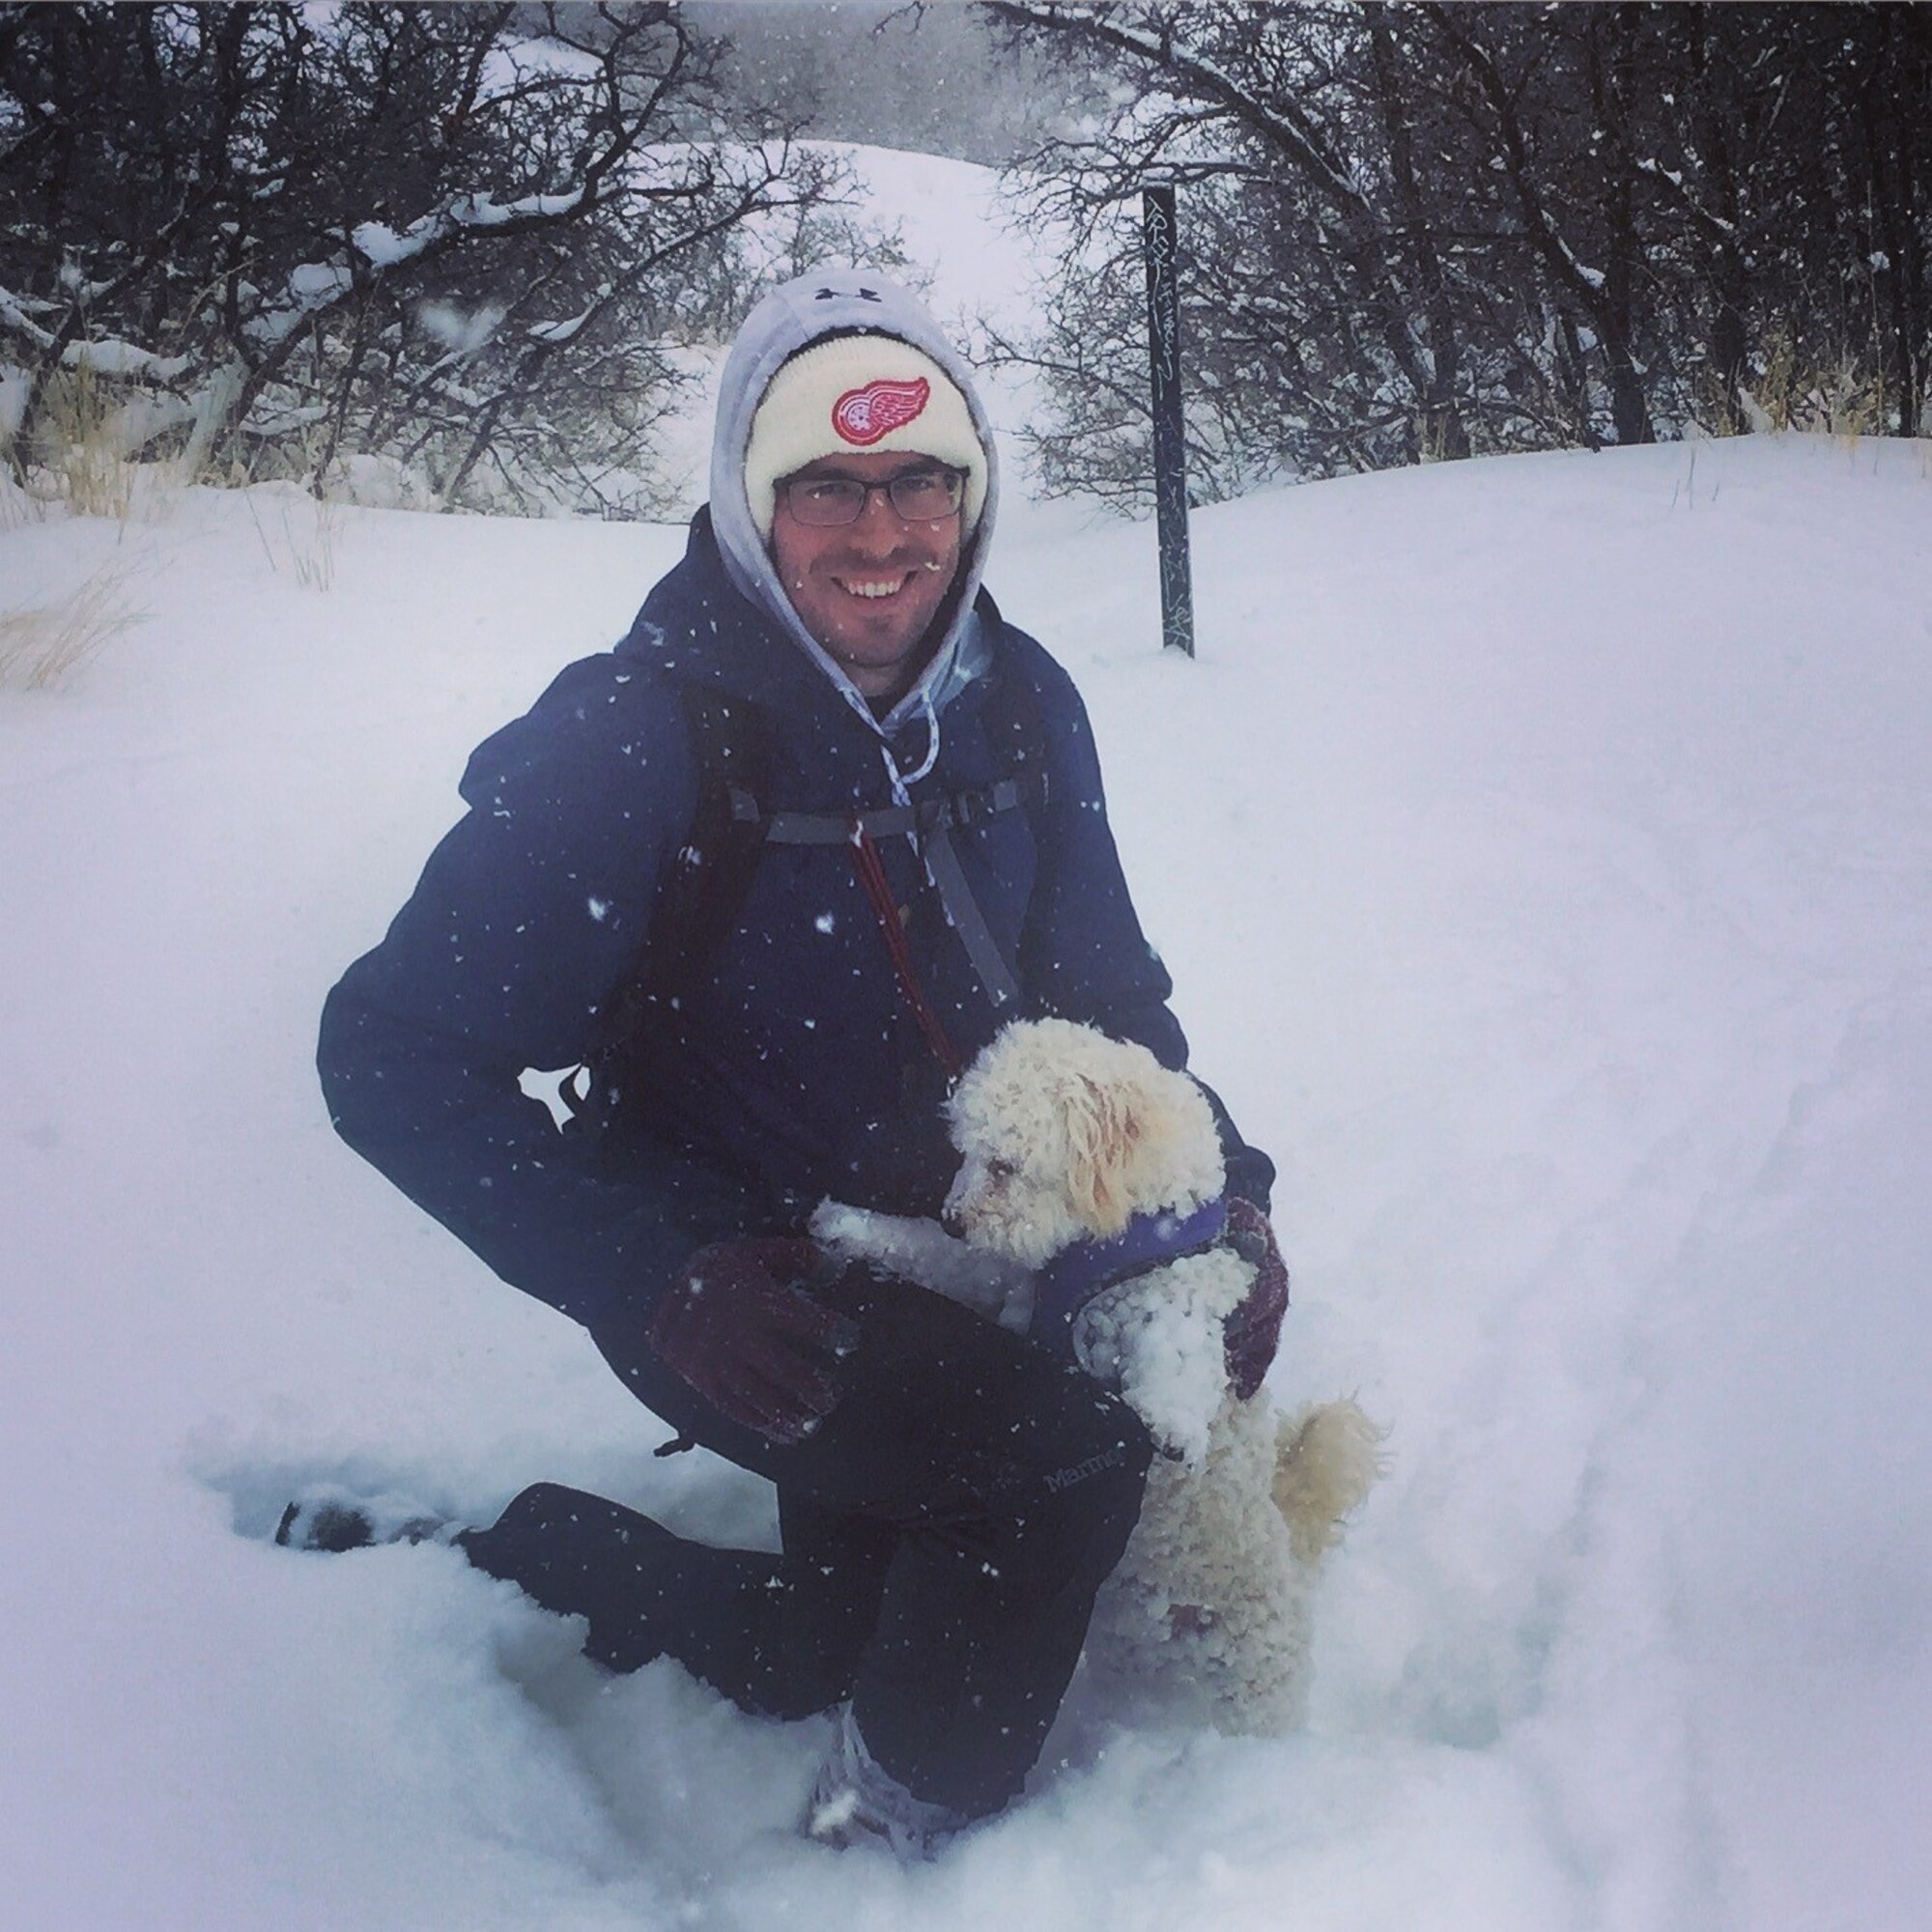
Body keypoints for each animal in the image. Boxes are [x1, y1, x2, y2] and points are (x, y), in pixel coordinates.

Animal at [808, 1020, 1383, 1747]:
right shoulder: (1003, 1282)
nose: (954, 1216)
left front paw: (1170, 1422)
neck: (1113, 1238)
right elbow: (933, 1256)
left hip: (1254, 1676)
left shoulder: (1191, 1286)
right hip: (1131, 1651)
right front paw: (851, 1226)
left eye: (1005, 1165)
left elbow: (1180, 1346)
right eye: (967, 1152)